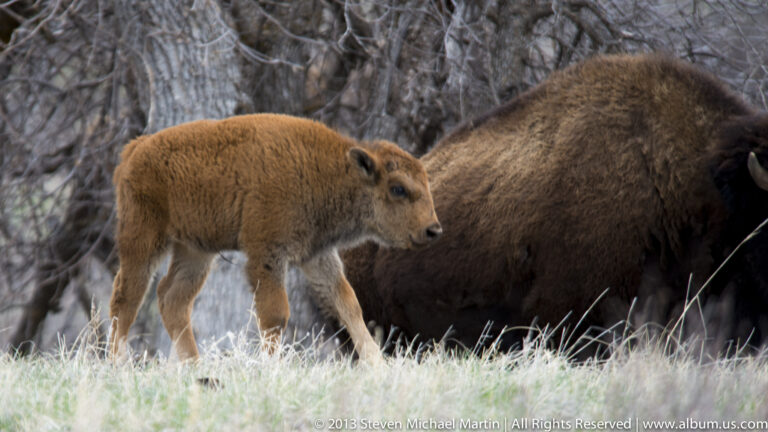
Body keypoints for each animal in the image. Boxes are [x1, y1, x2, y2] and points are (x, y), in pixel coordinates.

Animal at [108, 114, 441, 364]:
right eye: (398, 188)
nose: (433, 230)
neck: (331, 171)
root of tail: (135, 149)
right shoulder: (267, 254)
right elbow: (276, 315)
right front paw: (271, 366)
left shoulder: (317, 255)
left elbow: (348, 304)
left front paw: (378, 366)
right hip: (144, 239)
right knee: (126, 298)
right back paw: (118, 364)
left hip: (195, 251)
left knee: (172, 299)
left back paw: (194, 367)